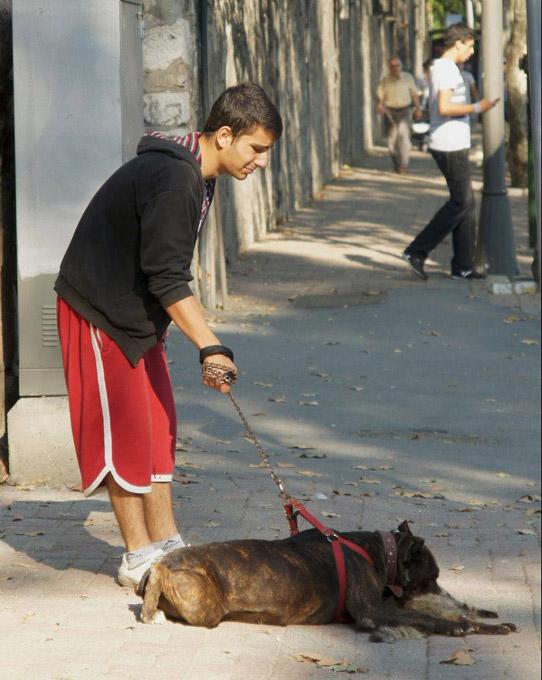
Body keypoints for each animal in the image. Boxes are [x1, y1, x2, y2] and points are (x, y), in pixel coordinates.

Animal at [137, 520, 520, 644]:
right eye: (433, 578)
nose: (445, 594)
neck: (379, 552)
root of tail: (161, 567)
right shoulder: (373, 612)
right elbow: (422, 617)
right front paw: (460, 624)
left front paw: (483, 620)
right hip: (207, 607)